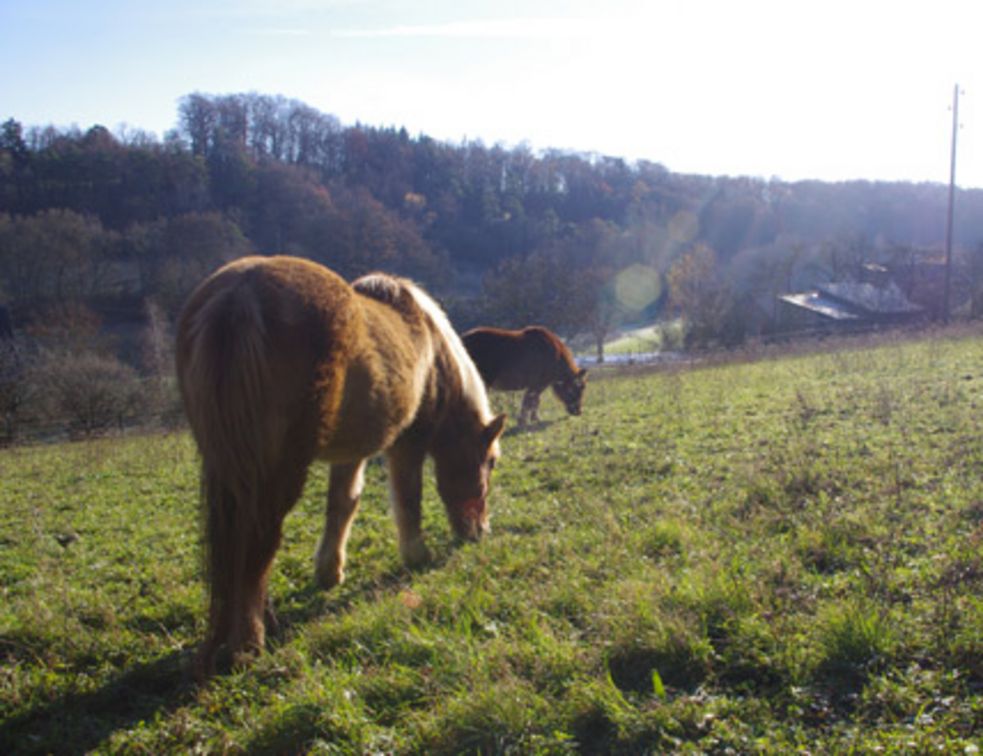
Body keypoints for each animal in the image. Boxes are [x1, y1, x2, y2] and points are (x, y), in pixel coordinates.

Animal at [174, 256, 508, 676]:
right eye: (490, 461)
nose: (479, 531)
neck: (433, 351)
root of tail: (239, 295)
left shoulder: (351, 453)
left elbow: (343, 504)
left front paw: (330, 572)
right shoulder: (407, 444)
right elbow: (408, 499)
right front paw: (416, 555)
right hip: (277, 471)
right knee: (258, 541)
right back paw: (248, 641)